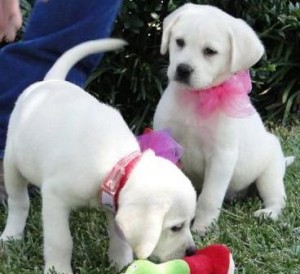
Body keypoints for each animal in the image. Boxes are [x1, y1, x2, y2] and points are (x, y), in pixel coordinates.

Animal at [1, 39, 197, 274]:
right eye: (176, 227)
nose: (192, 252)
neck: (113, 162)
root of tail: (51, 82)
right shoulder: (54, 198)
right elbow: (61, 241)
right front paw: (58, 268)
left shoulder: (113, 203)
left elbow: (119, 236)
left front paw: (121, 262)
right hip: (13, 164)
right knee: (19, 202)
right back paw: (11, 235)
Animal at [154, 4, 294, 234]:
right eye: (179, 42)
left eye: (210, 51)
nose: (183, 69)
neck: (198, 98)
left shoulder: (221, 157)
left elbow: (209, 197)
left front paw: (202, 227)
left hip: (270, 174)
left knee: (277, 198)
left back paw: (267, 213)